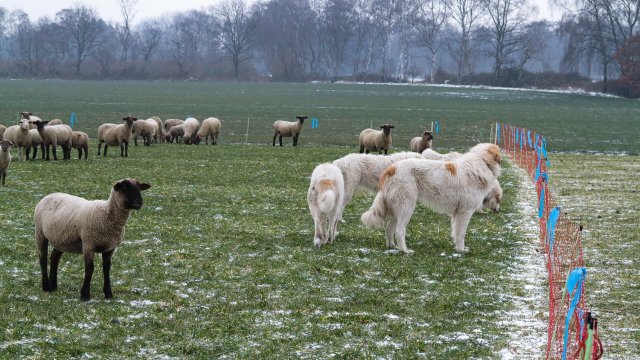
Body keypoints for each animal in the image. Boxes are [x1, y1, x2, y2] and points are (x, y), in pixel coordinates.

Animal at [360, 142, 500, 255]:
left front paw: (458, 248)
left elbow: (456, 232)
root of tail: (391, 168)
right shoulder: (465, 212)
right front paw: (461, 250)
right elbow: (461, 233)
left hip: (397, 209)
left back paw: (392, 247)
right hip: (407, 207)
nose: (498, 210)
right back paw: (405, 251)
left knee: (389, 228)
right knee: (399, 231)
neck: (481, 164)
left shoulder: (457, 213)